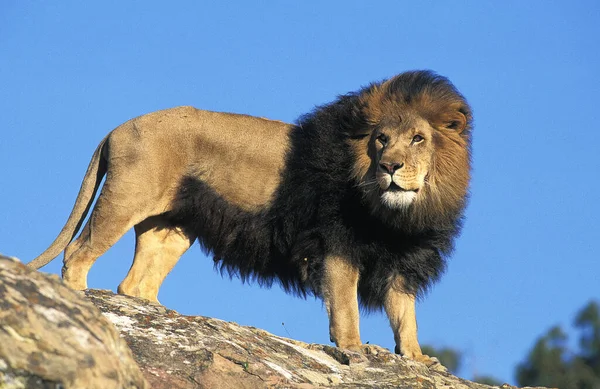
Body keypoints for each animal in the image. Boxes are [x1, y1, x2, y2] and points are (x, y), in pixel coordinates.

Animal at [30, 69, 474, 364]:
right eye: (381, 139)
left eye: (418, 139)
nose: (390, 167)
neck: (400, 213)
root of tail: (118, 127)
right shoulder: (336, 244)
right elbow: (345, 306)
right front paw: (353, 349)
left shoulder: (403, 260)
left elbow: (405, 313)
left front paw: (417, 358)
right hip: (125, 199)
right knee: (78, 253)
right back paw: (84, 304)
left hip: (170, 228)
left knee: (134, 282)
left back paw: (157, 312)